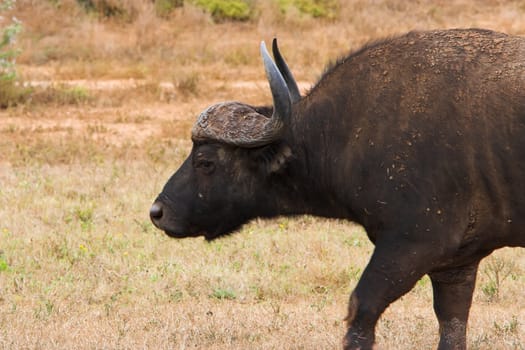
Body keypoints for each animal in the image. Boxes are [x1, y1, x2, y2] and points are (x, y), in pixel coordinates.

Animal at [149, 28, 524, 348]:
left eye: (205, 161)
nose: (158, 211)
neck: (349, 130)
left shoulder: (412, 246)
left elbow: (361, 310)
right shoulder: (456, 266)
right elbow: (452, 327)